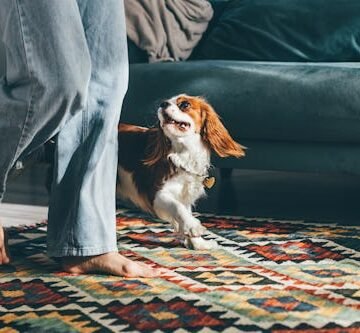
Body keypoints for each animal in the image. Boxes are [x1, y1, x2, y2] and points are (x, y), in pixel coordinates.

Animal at [116, 94, 246, 248]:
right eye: (165, 102)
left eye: (185, 104)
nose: (163, 103)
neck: (183, 153)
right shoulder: (156, 194)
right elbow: (178, 207)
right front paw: (193, 226)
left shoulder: (185, 193)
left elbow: (185, 210)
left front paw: (198, 244)